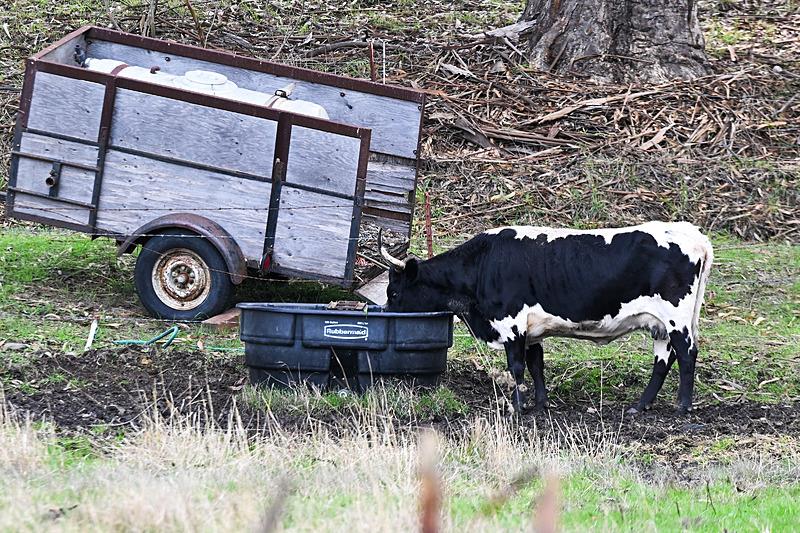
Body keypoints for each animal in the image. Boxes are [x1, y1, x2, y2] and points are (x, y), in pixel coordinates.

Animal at [382, 222, 712, 414]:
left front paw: (518, 407)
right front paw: (541, 403)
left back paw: (683, 406)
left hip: (677, 319)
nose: (384, 313)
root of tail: (695, 235)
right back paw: (640, 406)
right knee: (663, 361)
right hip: (661, 325)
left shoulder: (512, 324)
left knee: (687, 354)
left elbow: (516, 367)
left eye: (394, 292)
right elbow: (536, 365)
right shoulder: (532, 330)